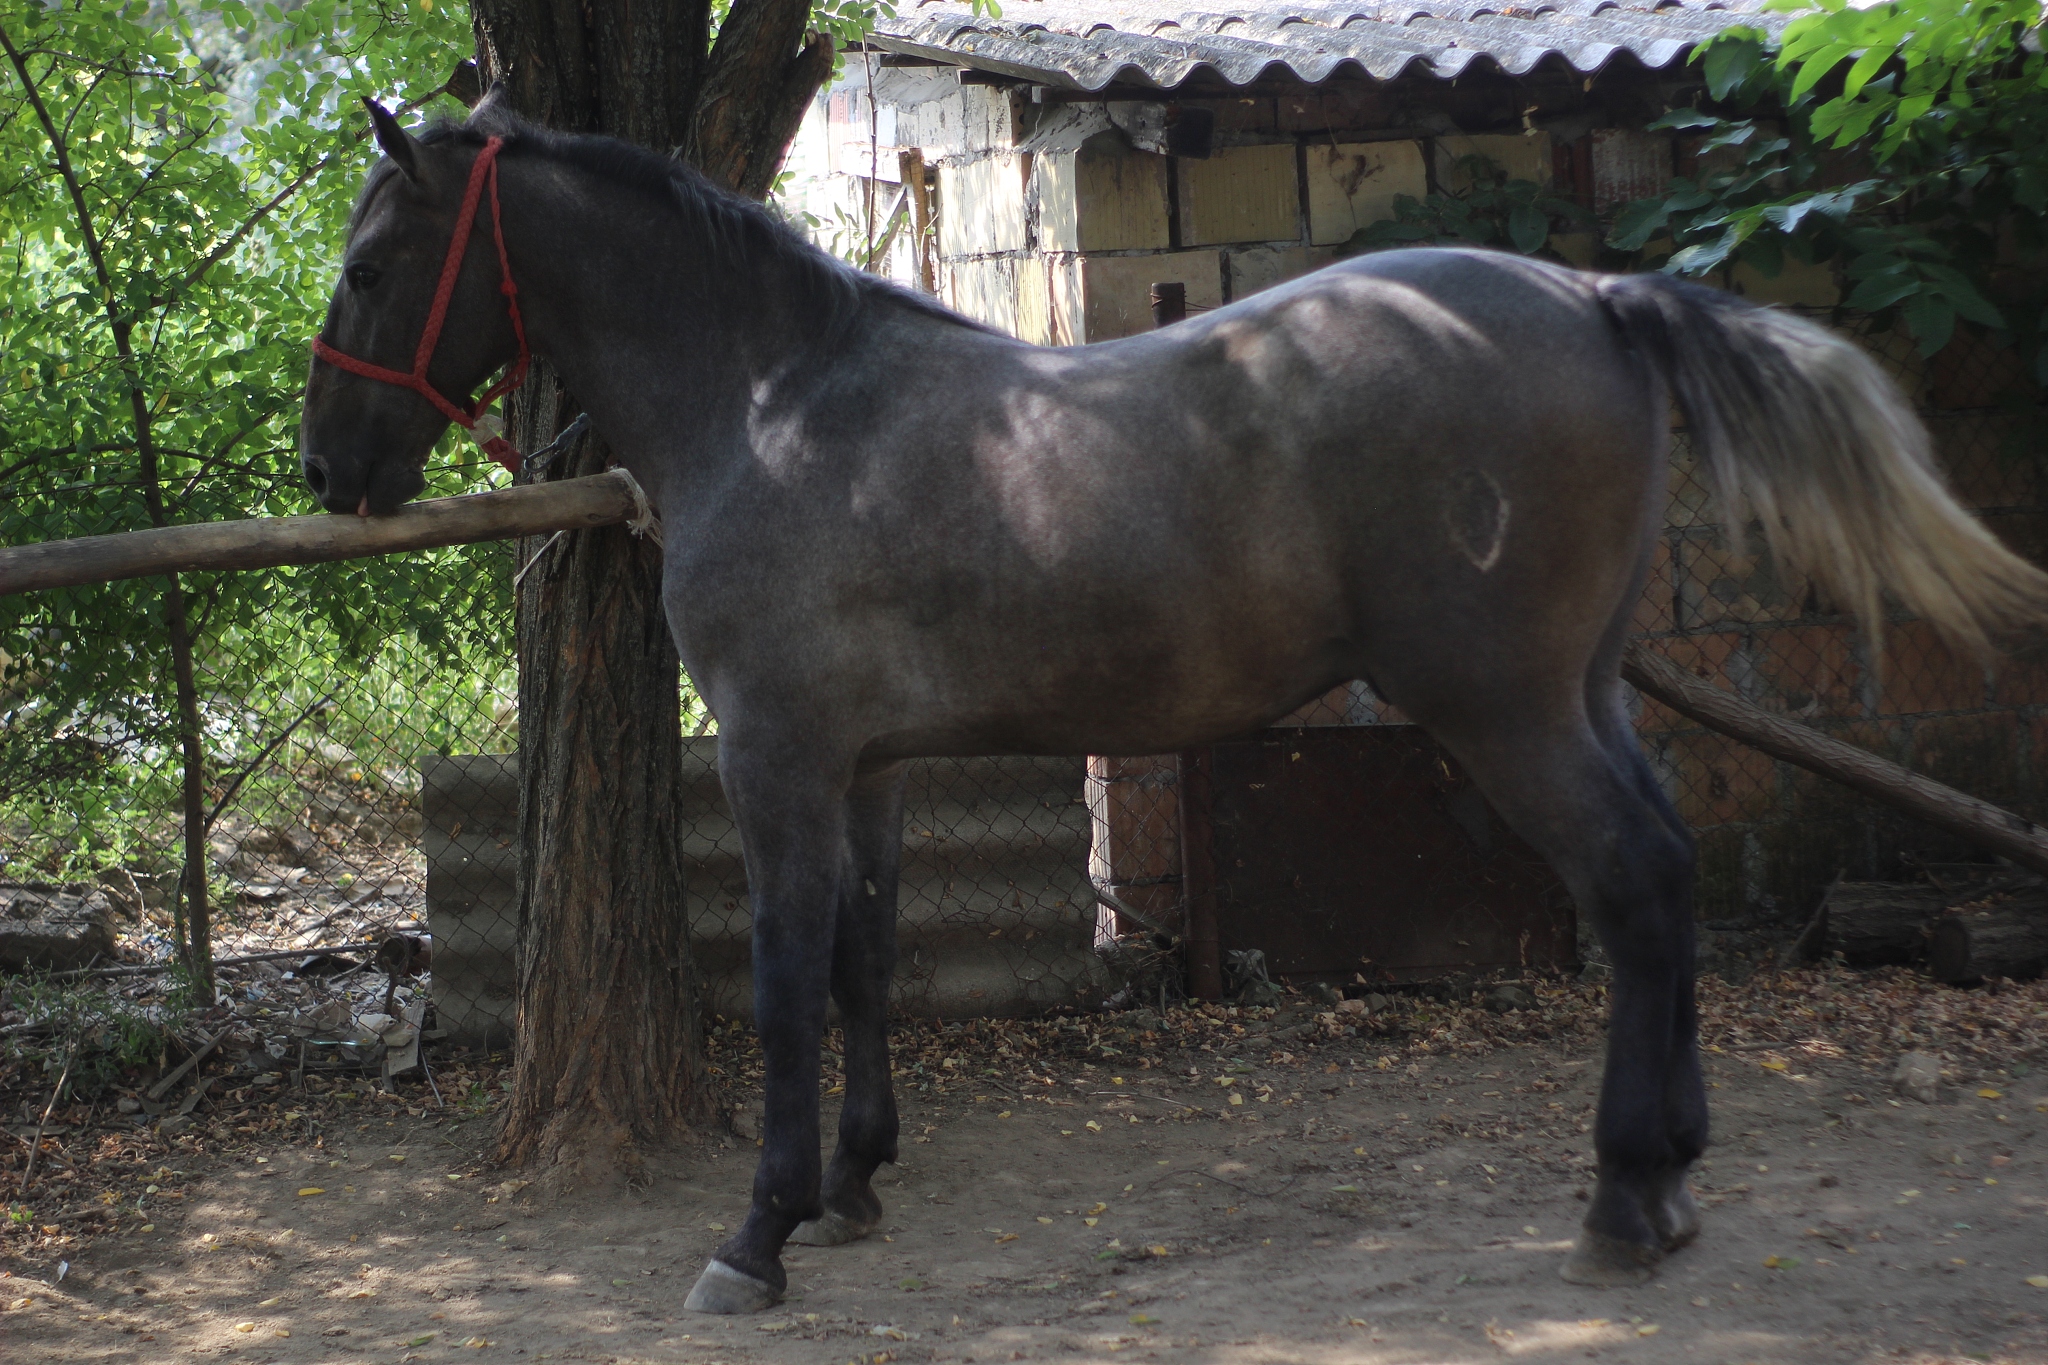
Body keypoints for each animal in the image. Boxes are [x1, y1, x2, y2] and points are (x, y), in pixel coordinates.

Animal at [299, 91, 2048, 1313]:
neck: (780, 404)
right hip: (1585, 690)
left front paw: (760, 1231)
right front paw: (856, 1183)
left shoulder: (776, 758)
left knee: (1630, 885)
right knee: (1671, 871)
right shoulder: (867, 766)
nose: (330, 471)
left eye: (374, 265)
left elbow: (791, 981)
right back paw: (1672, 1176)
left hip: (1505, 710)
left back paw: (1625, 1201)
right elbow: (865, 961)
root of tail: (1595, 298)